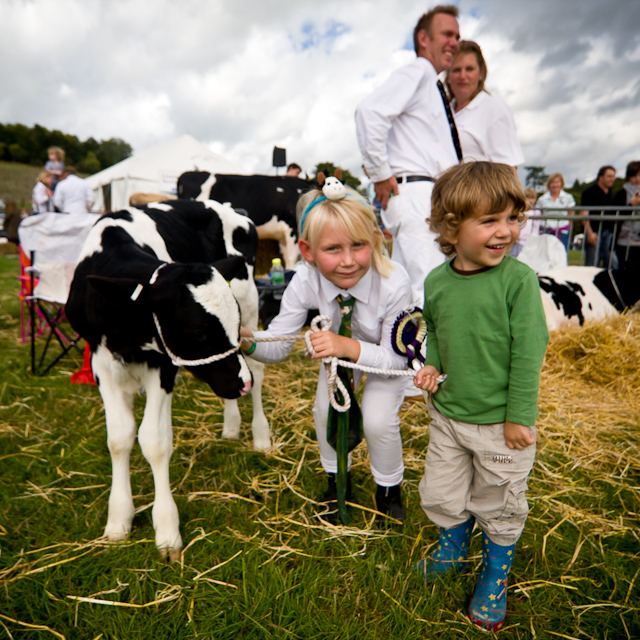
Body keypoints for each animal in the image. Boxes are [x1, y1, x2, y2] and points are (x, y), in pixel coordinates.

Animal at [67, 199, 270, 560]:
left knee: (258, 371)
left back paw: (261, 435)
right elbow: (119, 438)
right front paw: (118, 519)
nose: (240, 383)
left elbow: (154, 441)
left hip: (250, 302)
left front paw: (166, 530)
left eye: (232, 323)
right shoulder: (101, 363)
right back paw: (232, 426)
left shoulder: (163, 366)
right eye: (199, 332)